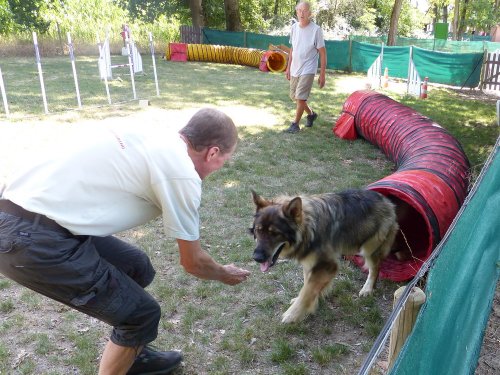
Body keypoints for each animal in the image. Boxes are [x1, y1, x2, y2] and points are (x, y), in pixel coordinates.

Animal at [250, 189, 398, 324]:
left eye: (275, 233)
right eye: (258, 230)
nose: (256, 257)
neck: (308, 228)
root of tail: (387, 201)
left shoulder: (328, 265)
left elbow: (307, 291)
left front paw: (293, 314)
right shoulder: (310, 263)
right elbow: (308, 285)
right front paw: (311, 301)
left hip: (369, 248)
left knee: (375, 268)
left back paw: (367, 288)